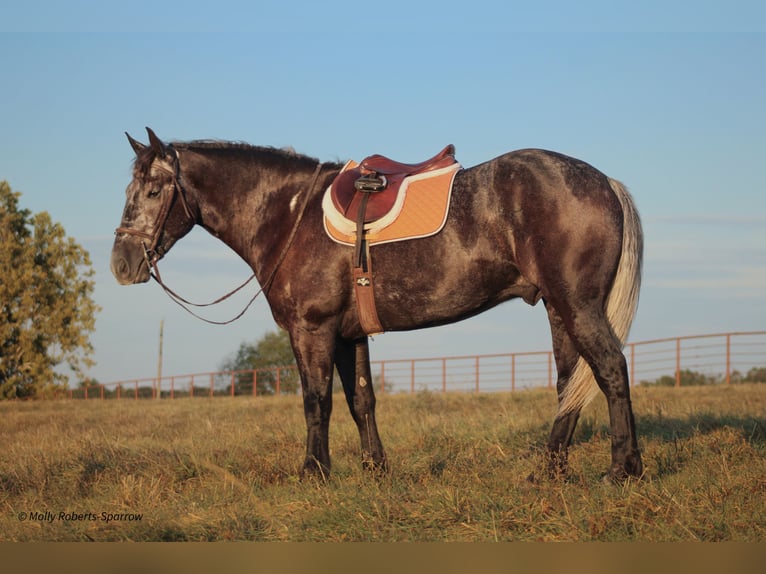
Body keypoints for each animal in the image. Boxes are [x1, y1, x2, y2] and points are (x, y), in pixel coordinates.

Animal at [111, 128, 644, 484]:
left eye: (154, 191)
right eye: (128, 190)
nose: (122, 263)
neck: (289, 216)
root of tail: (605, 182)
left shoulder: (312, 330)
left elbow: (316, 401)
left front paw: (313, 472)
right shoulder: (350, 335)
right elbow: (360, 399)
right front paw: (375, 470)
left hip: (578, 306)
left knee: (610, 370)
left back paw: (623, 470)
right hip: (558, 309)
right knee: (569, 384)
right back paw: (549, 472)